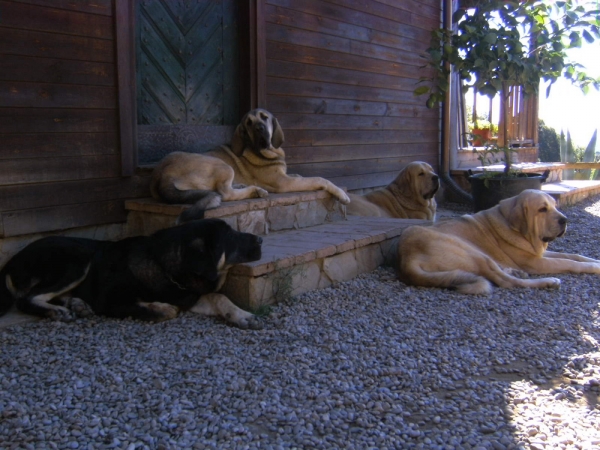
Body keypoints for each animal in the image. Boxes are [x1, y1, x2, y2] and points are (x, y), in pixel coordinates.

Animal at [0, 218, 262, 326]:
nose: (260, 239)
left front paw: (241, 315)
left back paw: (77, 304)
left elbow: (219, 297)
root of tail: (11, 262)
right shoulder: (109, 301)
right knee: (26, 298)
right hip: (77, 257)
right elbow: (161, 310)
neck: (164, 266)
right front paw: (159, 306)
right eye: (230, 236)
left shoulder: (187, 294)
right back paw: (58, 311)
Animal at [149, 106, 352, 219]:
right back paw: (254, 190)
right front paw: (341, 193)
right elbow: (319, 179)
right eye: (248, 123)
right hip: (222, 165)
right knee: (225, 193)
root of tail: (161, 176)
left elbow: (299, 174)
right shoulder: (284, 183)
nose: (259, 128)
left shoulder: (287, 176)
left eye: (264, 117)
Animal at [398, 190, 600, 296]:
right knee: (506, 281)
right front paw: (593, 267)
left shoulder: (537, 252)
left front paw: (594, 260)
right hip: (474, 252)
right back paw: (547, 282)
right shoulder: (536, 262)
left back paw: (516, 271)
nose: (565, 220)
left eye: (555, 207)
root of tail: (406, 259)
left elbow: (572, 255)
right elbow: (567, 261)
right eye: (542, 209)